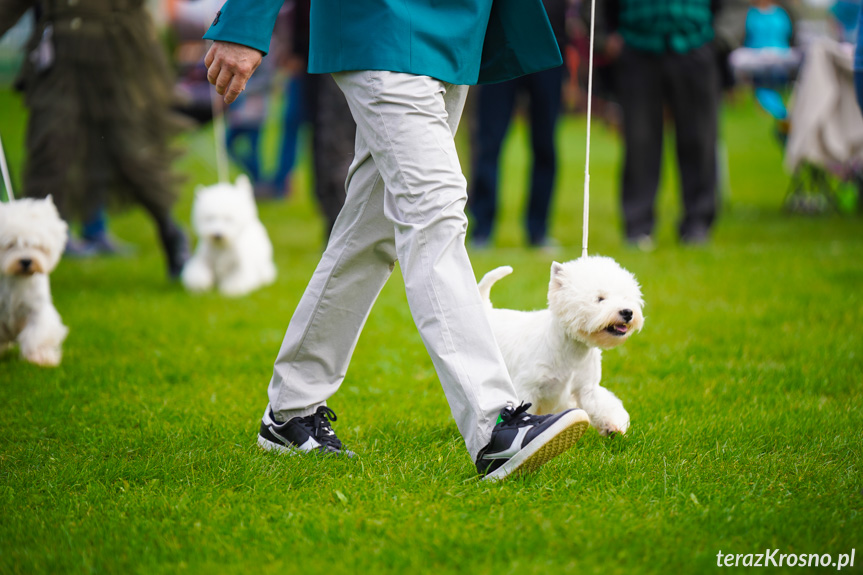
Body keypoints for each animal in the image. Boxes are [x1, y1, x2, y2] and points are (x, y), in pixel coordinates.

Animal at [0, 198, 69, 366]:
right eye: (10, 244)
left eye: (38, 245)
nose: (26, 261)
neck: (17, 279)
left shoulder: (36, 310)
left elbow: (36, 335)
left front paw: (40, 357)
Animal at [480, 256, 648, 436]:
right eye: (600, 298)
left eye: (626, 297)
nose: (628, 312)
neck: (573, 350)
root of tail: (486, 310)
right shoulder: (528, 388)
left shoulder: (586, 388)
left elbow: (602, 404)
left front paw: (613, 426)